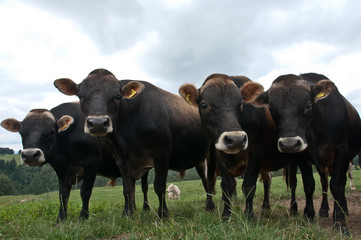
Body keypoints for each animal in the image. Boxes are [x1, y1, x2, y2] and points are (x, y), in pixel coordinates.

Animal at [0, 101, 148, 221]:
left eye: (51, 131)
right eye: (21, 132)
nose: (30, 155)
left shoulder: (91, 164)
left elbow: (85, 191)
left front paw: (83, 217)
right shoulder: (61, 170)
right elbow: (63, 195)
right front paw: (61, 219)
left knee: (143, 187)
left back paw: (145, 209)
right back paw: (133, 209)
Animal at [52, 68, 211, 218]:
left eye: (117, 96)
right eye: (80, 96)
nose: (97, 123)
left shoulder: (162, 153)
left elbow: (159, 186)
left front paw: (163, 214)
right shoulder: (121, 158)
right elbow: (127, 189)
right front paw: (127, 215)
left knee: (206, 179)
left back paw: (210, 206)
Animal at [178, 74, 316, 219]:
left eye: (241, 104)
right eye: (204, 105)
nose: (236, 140)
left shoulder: (255, 154)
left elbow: (249, 186)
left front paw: (249, 214)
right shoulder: (220, 155)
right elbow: (227, 186)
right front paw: (226, 215)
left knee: (292, 182)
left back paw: (292, 208)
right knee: (268, 179)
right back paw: (266, 206)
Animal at [243, 72, 360, 233]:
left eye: (308, 105)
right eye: (271, 109)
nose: (289, 144)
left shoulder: (341, 151)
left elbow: (337, 185)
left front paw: (340, 222)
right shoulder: (303, 156)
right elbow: (309, 185)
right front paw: (308, 214)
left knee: (338, 182)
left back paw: (344, 209)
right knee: (323, 183)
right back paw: (323, 210)